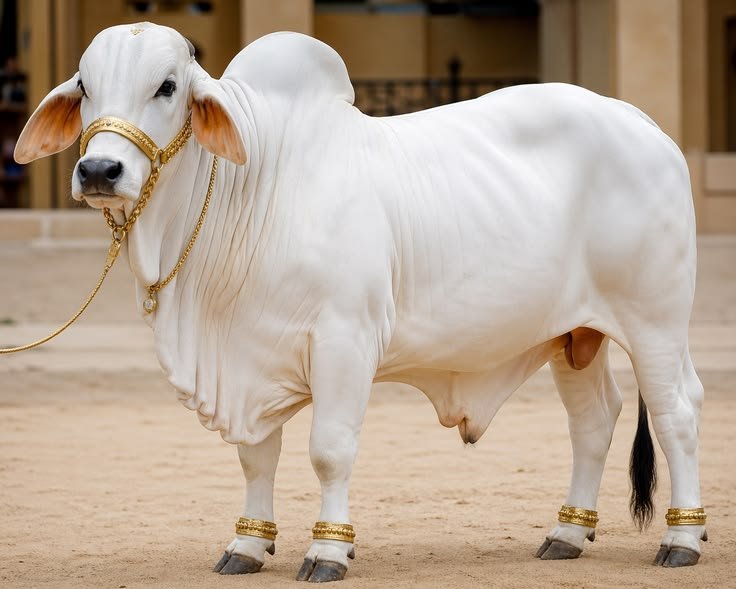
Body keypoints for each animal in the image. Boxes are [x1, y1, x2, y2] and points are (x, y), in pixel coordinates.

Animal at [13, 22, 706, 582]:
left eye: (166, 86)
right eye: (85, 85)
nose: (99, 171)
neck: (255, 184)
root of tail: (642, 122)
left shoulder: (344, 341)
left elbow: (329, 449)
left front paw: (328, 550)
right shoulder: (249, 353)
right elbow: (255, 457)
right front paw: (247, 544)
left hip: (656, 322)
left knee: (677, 412)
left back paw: (683, 537)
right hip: (574, 336)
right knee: (594, 420)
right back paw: (567, 531)